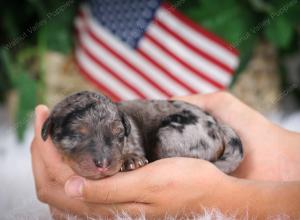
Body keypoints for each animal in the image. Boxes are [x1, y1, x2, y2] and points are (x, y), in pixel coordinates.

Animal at [41, 90, 244, 179]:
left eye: (118, 133)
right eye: (77, 135)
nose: (103, 164)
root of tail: (218, 126)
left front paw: (130, 159)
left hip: (171, 136)